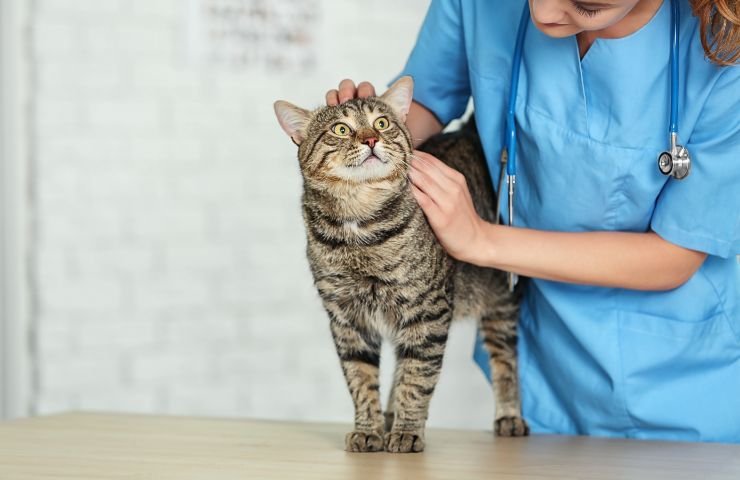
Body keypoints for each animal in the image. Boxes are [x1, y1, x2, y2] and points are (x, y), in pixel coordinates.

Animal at [276, 77, 528, 452]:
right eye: (340, 129)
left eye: (382, 123)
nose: (370, 139)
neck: (359, 226)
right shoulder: (347, 319)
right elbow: (361, 380)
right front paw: (369, 430)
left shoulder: (428, 311)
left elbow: (418, 376)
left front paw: (408, 431)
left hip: (501, 301)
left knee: (504, 359)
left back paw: (508, 416)